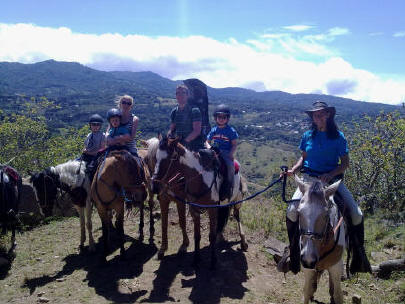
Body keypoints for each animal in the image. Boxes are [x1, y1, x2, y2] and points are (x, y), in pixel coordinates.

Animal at [151, 136, 246, 268]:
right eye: (156, 158)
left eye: (168, 159)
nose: (154, 186)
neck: (201, 179)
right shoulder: (194, 209)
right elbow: (197, 235)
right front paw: (196, 259)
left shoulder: (212, 209)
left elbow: (211, 235)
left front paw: (213, 261)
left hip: (237, 200)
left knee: (237, 216)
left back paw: (243, 241)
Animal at [294, 176, 344, 304]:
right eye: (298, 212)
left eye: (326, 214)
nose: (308, 259)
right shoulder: (308, 269)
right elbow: (306, 291)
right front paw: (310, 293)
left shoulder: (336, 267)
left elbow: (338, 295)